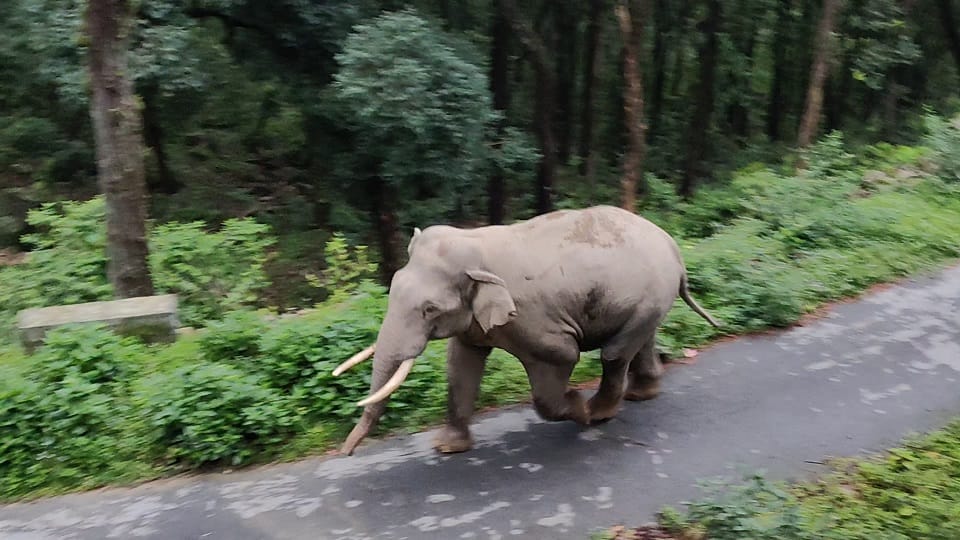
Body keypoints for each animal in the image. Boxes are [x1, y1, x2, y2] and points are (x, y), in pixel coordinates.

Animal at [334, 205, 720, 456]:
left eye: (430, 309)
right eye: (392, 287)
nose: (345, 452)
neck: (476, 244)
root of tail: (674, 250)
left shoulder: (532, 319)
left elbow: (562, 357)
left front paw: (577, 409)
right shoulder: (474, 324)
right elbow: (460, 366)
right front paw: (447, 448)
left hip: (649, 294)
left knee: (614, 353)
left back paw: (599, 413)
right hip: (647, 300)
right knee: (640, 340)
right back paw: (641, 395)